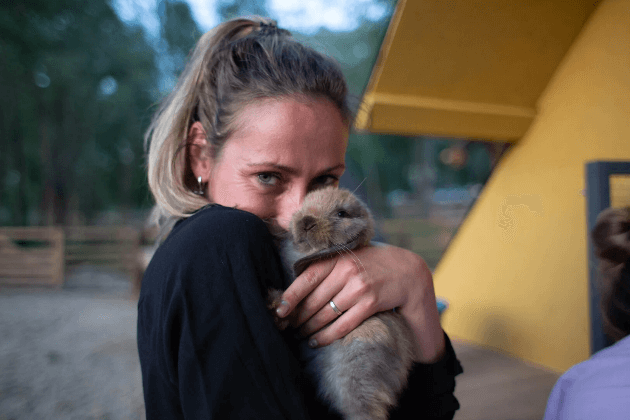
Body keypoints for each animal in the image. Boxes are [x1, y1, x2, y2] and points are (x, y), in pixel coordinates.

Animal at [270, 187, 418, 420]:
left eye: (341, 214)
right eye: (304, 204)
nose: (306, 220)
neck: (307, 251)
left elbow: (293, 306)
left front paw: (277, 308)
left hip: (356, 376)